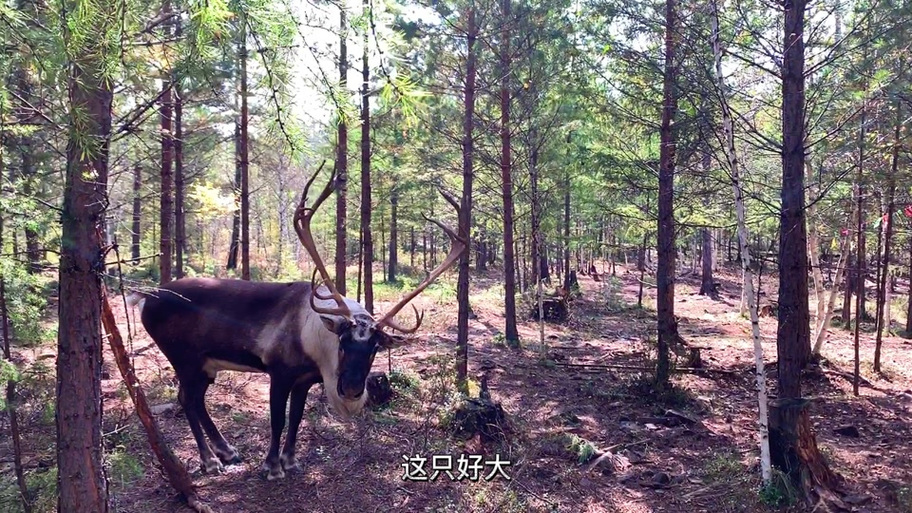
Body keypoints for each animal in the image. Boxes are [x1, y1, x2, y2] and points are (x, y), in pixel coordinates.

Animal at [127, 164, 466, 480]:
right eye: (343, 343)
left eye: (374, 349)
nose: (351, 390)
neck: (314, 342)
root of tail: (145, 297)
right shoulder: (279, 372)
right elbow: (277, 418)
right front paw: (272, 466)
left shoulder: (304, 379)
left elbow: (297, 417)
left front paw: (290, 461)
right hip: (182, 357)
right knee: (186, 398)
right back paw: (210, 460)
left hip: (205, 364)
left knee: (196, 399)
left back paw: (226, 450)